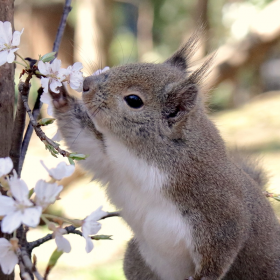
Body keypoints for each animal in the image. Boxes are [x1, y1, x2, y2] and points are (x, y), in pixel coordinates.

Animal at [49, 35, 280, 280]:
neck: (144, 159)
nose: (86, 84)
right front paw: (59, 95)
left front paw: (202, 276)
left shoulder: (218, 208)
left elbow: (221, 250)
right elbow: (84, 141)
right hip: (136, 260)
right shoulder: (111, 163)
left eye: (133, 100)